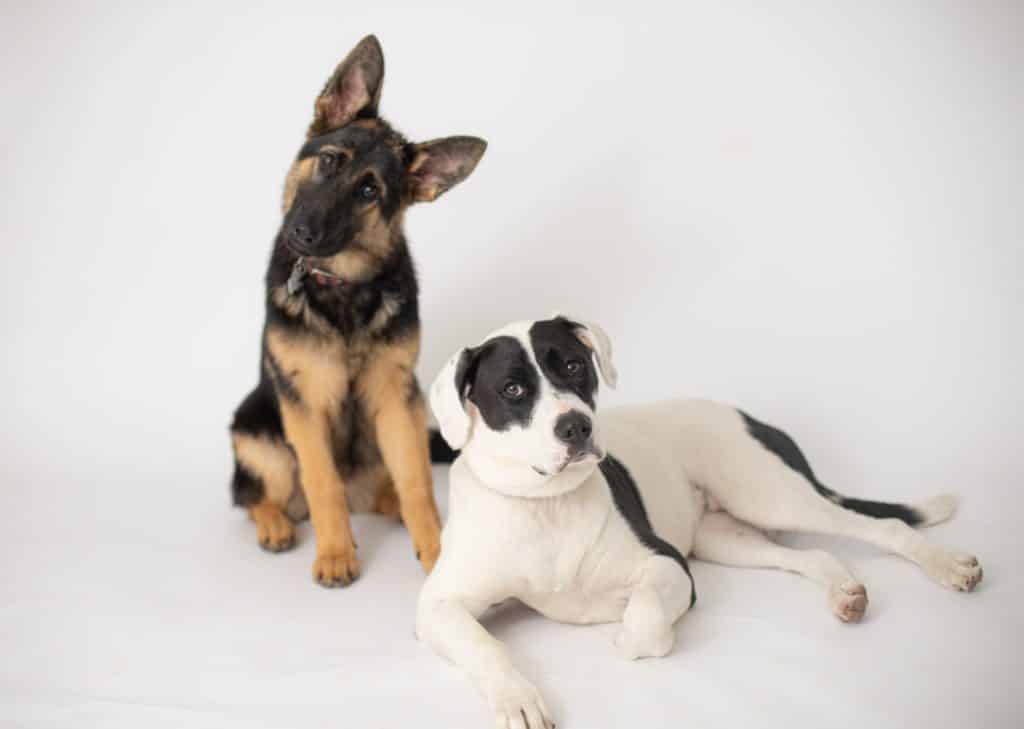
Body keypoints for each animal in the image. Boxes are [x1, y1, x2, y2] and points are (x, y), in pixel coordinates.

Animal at [230, 37, 485, 589]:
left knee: (395, 490)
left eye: (369, 191)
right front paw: (334, 554)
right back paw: (276, 524)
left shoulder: (397, 398)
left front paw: (437, 550)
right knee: (253, 495)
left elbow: (418, 484)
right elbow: (322, 480)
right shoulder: (302, 402)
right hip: (257, 434)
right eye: (329, 162)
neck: (341, 286)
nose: (300, 235)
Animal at [417, 315, 983, 729]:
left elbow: (645, 620)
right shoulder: (438, 607)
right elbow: (484, 645)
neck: (544, 503)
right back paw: (844, 592)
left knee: (880, 529)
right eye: (512, 390)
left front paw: (624, 633)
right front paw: (517, 699)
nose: (576, 426)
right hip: (727, 538)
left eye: (575, 366)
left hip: (770, 496)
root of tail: (746, 415)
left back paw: (949, 567)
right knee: (813, 554)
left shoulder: (668, 567)